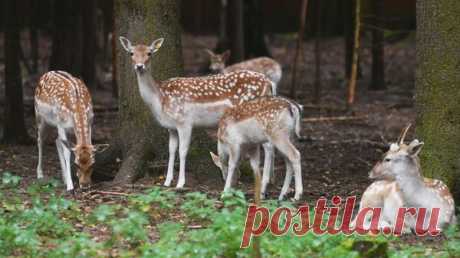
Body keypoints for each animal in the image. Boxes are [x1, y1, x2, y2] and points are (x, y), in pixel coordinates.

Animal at [119, 36, 276, 188]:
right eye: (131, 53)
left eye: (149, 53)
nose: (139, 66)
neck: (161, 99)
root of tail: (269, 83)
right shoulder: (171, 127)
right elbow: (171, 151)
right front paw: (167, 181)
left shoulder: (184, 122)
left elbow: (183, 151)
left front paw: (180, 183)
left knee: (268, 145)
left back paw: (264, 183)